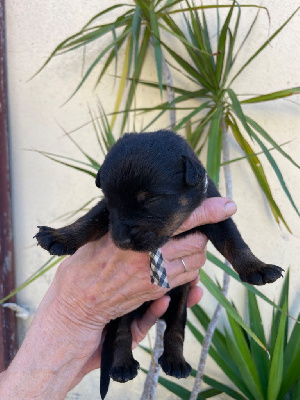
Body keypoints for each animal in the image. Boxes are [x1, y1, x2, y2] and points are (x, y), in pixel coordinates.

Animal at [35, 130, 284, 398]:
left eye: (151, 199)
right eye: (110, 200)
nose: (120, 240)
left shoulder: (217, 213)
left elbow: (234, 241)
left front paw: (257, 267)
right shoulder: (106, 213)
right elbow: (89, 220)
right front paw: (60, 236)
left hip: (179, 301)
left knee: (174, 328)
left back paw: (175, 361)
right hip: (124, 307)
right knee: (122, 331)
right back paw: (123, 364)